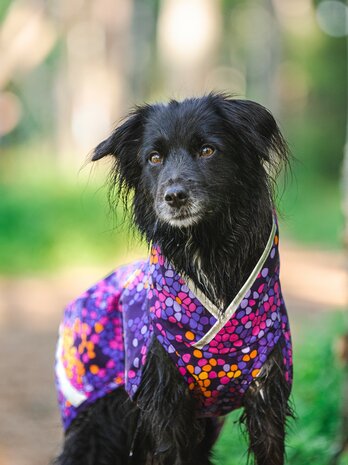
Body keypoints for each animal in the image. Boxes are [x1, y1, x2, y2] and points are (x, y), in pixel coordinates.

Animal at [53, 92, 294, 462]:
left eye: (207, 150)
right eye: (154, 158)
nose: (175, 196)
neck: (205, 249)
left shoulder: (267, 393)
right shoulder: (166, 401)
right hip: (96, 424)